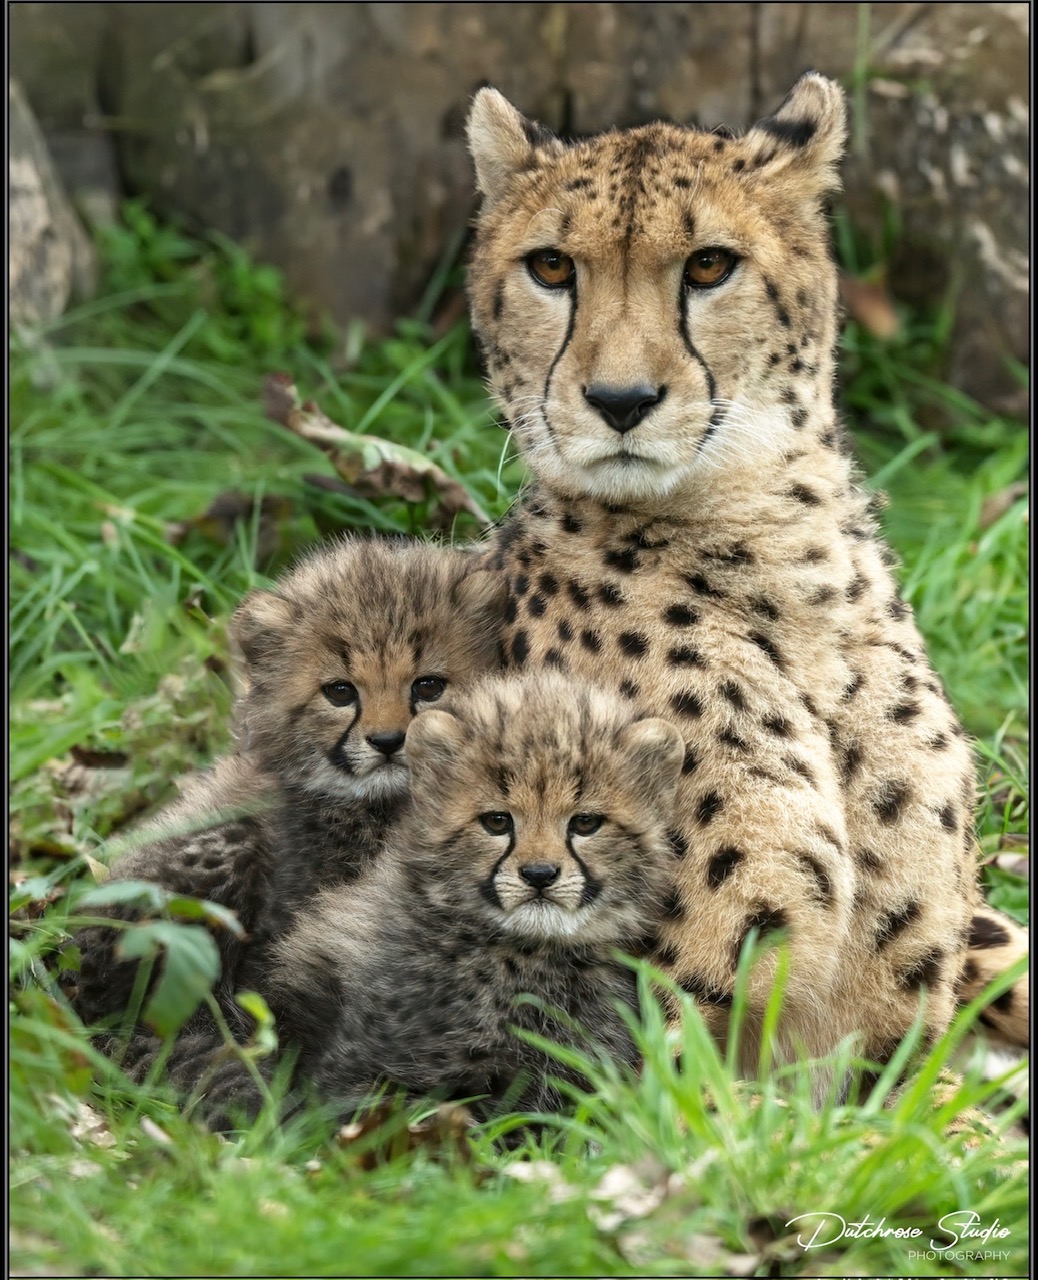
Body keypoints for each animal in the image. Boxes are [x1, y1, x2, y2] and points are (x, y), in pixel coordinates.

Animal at [463, 72, 1028, 1082]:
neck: (775, 559)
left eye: (709, 266)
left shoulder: (888, 1042)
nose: (620, 401)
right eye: (553, 269)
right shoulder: (613, 1057)